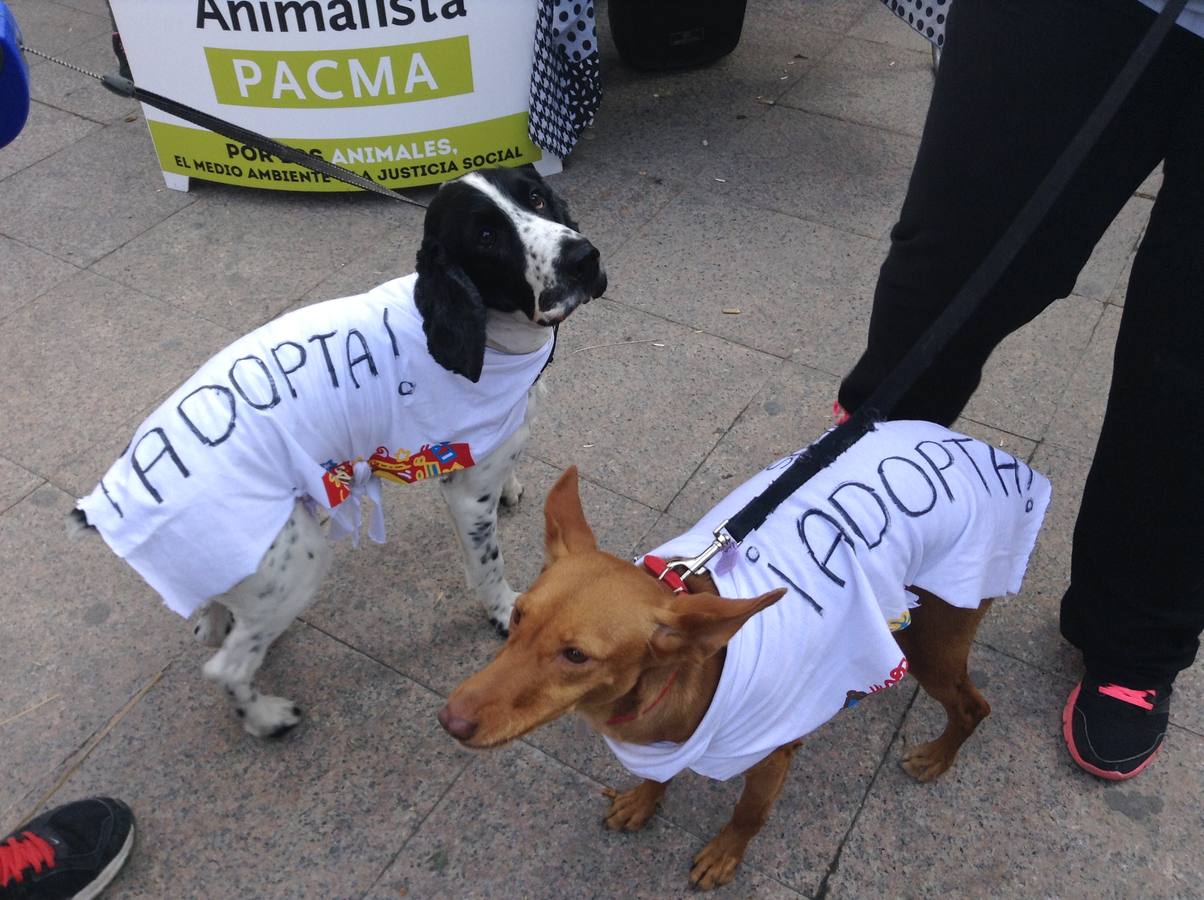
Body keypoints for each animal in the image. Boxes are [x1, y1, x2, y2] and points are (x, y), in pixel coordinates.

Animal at [70, 168, 606, 736]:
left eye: (536, 197)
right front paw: (506, 613)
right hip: (297, 557)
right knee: (224, 668)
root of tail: (115, 499)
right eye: (486, 236)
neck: (492, 339)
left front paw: (512, 487)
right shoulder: (464, 493)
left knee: (218, 621)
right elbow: (488, 566)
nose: (583, 257)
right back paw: (266, 717)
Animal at [440, 421, 1045, 885]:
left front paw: (725, 854)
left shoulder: (774, 754)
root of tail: (990, 453)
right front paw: (644, 800)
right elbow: (660, 776)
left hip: (937, 640)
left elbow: (749, 813)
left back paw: (938, 757)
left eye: (575, 656)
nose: (450, 721)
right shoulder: (662, 745)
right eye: (518, 617)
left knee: (973, 706)